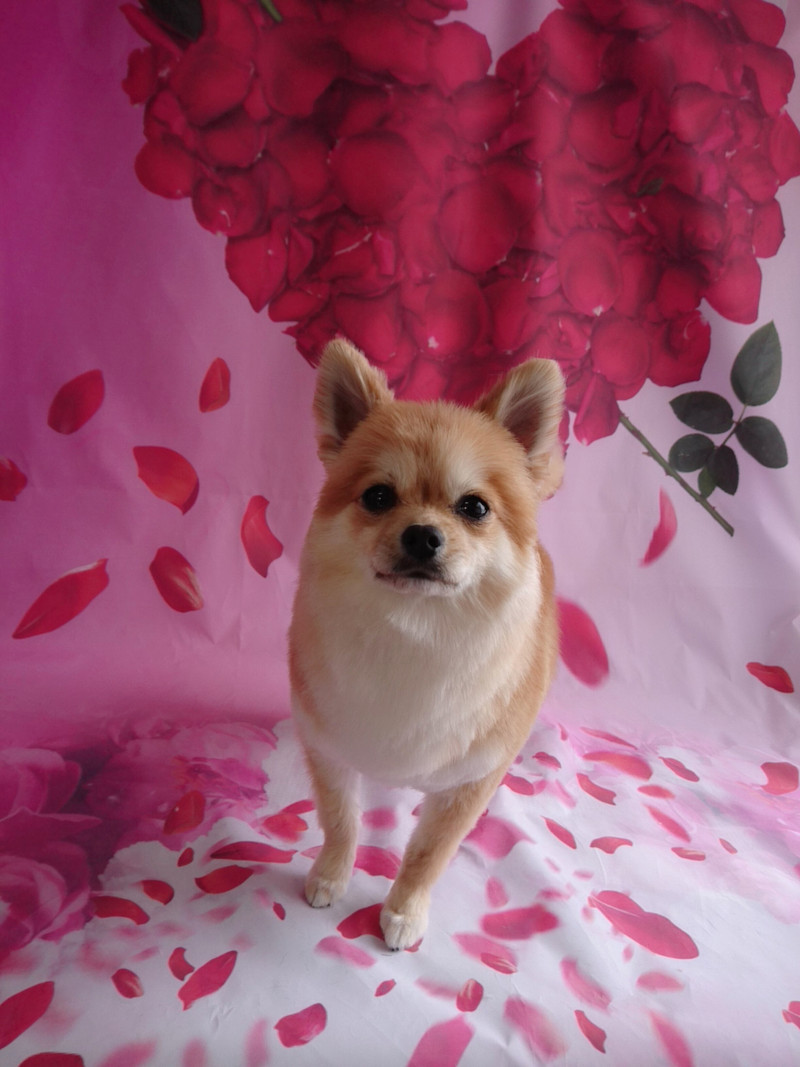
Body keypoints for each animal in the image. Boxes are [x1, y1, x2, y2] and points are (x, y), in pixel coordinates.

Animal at [288, 338, 565, 950]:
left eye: (475, 507)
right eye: (377, 497)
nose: (421, 534)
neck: (417, 633)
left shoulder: (469, 782)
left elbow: (428, 853)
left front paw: (403, 911)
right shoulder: (328, 747)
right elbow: (340, 821)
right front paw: (331, 876)